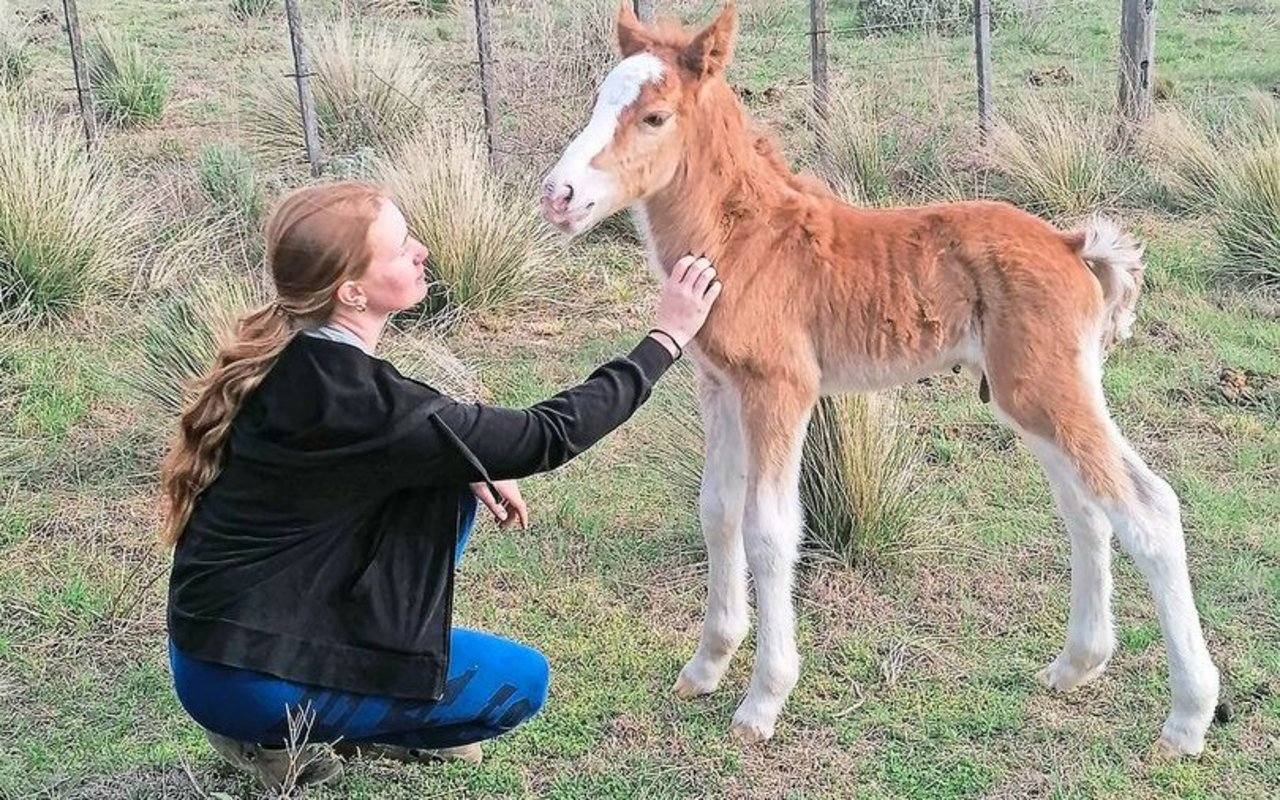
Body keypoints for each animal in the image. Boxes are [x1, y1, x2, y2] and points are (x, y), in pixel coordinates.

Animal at [537, 1, 1218, 752]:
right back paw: (1076, 665)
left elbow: (770, 530)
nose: (558, 195)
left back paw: (1188, 717)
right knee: (1088, 510)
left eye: (655, 116)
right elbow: (717, 512)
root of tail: (1074, 247)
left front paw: (763, 700)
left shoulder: (781, 390)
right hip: (1033, 396)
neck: (744, 240)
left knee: (1147, 511)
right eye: (600, 100)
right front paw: (707, 665)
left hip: (1048, 390)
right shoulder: (720, 387)